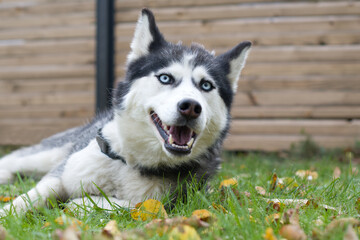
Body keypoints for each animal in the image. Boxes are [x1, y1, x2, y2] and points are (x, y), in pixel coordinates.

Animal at [0, 8, 250, 216]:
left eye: (206, 85)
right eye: (165, 78)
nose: (190, 107)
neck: (127, 163)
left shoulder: (171, 202)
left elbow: (126, 204)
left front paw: (80, 203)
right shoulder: (62, 173)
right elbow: (32, 195)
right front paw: (8, 213)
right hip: (48, 154)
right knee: (15, 159)